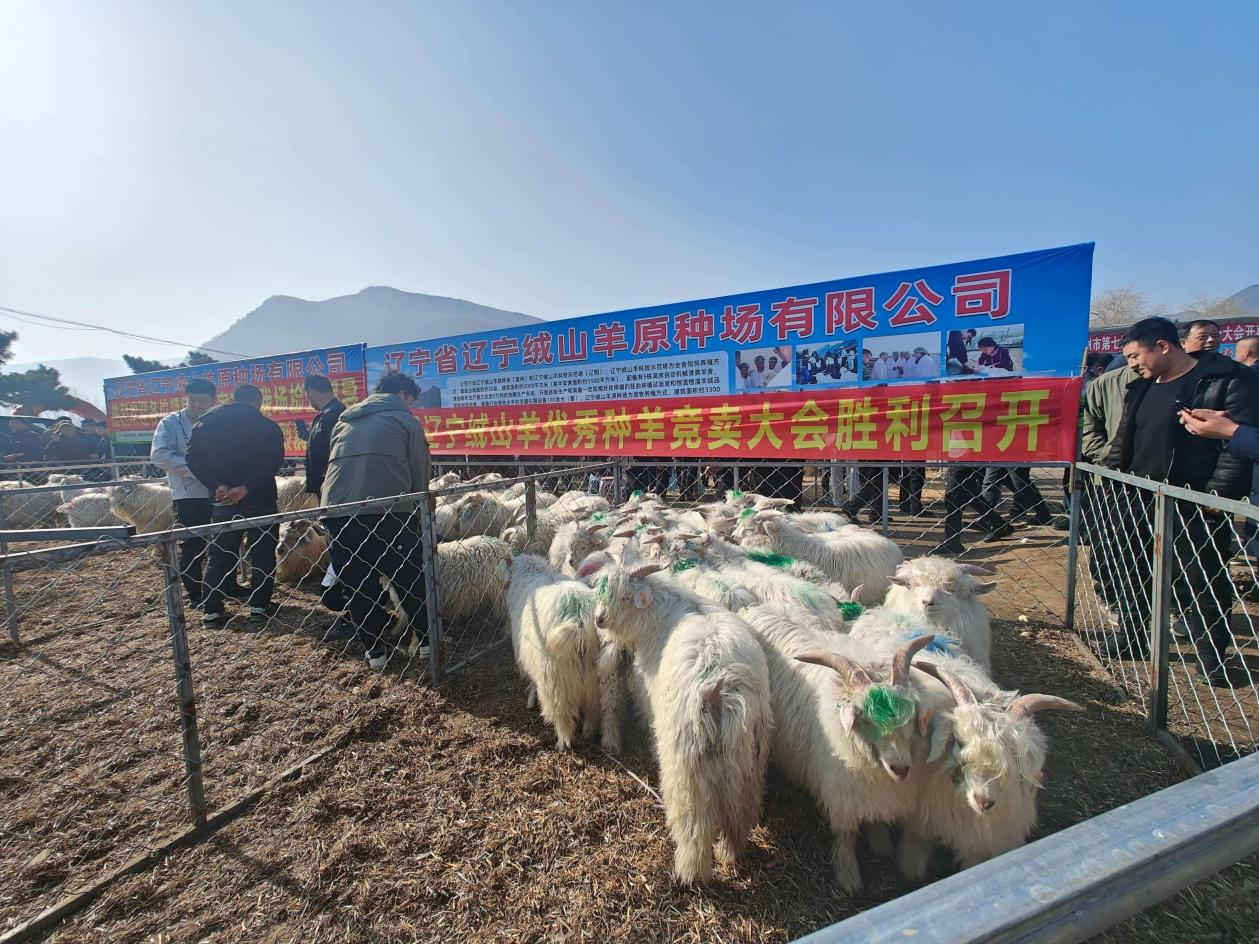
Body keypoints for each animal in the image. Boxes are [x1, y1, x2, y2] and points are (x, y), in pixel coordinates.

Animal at [506, 554, 609, 751]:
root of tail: (578, 620)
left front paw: (530, 699)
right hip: (594, 674)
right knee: (592, 706)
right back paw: (589, 731)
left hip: (556, 678)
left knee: (562, 713)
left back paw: (563, 742)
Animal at [578, 548, 772, 885]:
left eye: (625, 596)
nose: (600, 619)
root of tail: (719, 688)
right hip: (746, 759)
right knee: (739, 809)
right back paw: (730, 853)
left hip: (685, 759)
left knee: (693, 820)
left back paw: (690, 873)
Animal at [741, 602, 937, 892]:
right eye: (866, 719)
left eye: (910, 715)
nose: (900, 768)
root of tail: (755, 608)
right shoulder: (841, 789)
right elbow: (846, 833)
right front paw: (848, 875)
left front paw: (880, 842)